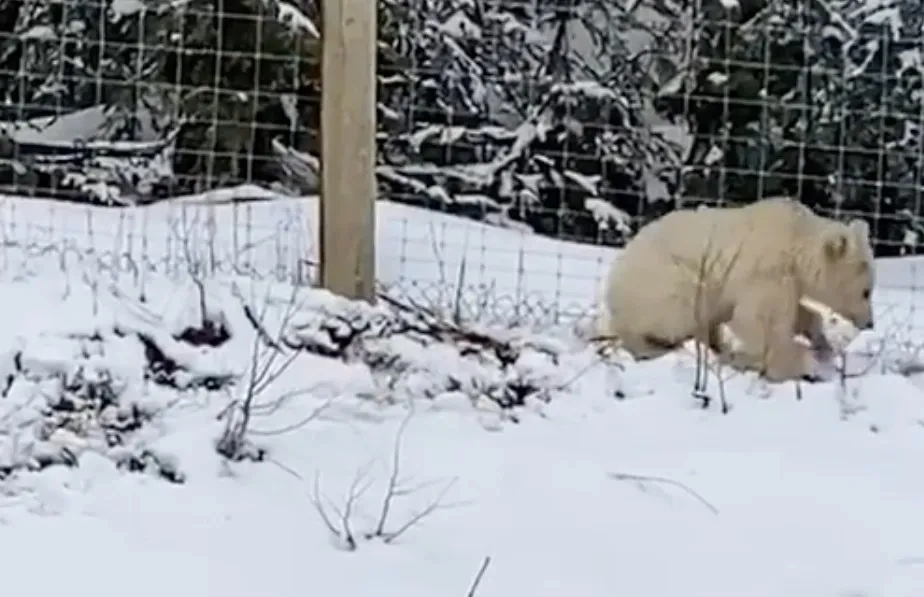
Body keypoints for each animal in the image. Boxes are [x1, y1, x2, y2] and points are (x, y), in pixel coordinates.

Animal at [599, 197, 875, 382]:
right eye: (866, 292)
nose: (870, 323)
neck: (796, 242)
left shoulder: (785, 279)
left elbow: (796, 313)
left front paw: (823, 344)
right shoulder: (767, 271)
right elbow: (759, 321)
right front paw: (806, 365)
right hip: (668, 284)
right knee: (675, 315)